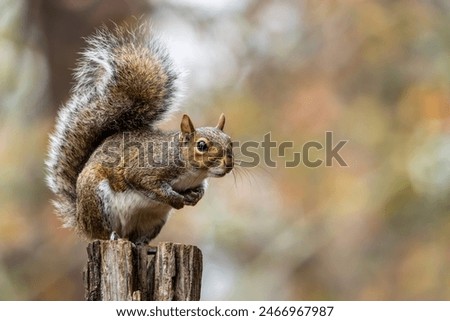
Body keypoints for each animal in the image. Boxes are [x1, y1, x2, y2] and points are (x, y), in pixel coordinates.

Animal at [45, 22, 234, 242]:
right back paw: (112, 235)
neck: (193, 172)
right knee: (102, 231)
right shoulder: (145, 168)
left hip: (152, 221)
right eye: (201, 145)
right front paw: (175, 199)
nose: (228, 164)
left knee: (136, 237)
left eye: (230, 142)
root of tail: (81, 220)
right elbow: (147, 183)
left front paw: (196, 196)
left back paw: (142, 243)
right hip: (96, 198)